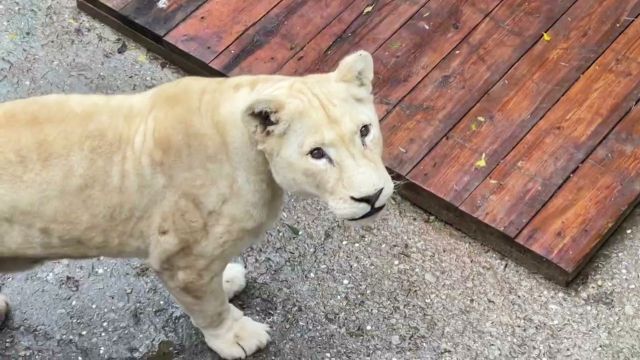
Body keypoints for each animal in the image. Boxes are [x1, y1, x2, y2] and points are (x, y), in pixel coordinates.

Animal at [0, 50, 390, 358]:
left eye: (365, 131)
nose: (371, 196)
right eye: (317, 153)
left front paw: (228, 278)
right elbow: (211, 308)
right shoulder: (182, 260)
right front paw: (238, 338)